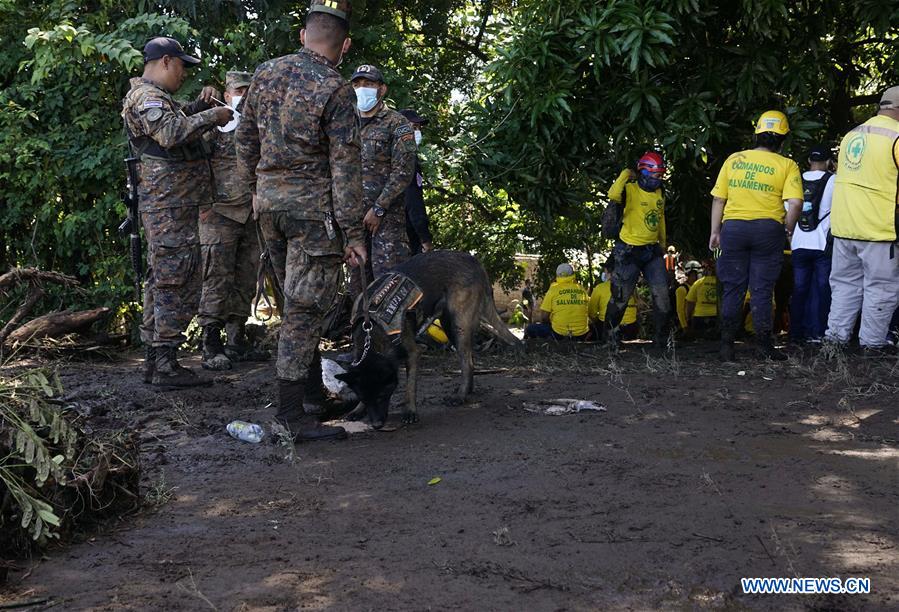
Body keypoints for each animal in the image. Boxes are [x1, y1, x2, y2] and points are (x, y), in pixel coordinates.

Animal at [336, 251, 520, 428]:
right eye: (365, 398)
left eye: (382, 395)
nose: (376, 425)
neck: (372, 331)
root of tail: (473, 259)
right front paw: (358, 410)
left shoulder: (413, 353)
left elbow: (410, 387)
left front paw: (410, 411)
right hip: (449, 326)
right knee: (470, 360)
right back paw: (467, 390)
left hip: (459, 325)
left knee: (467, 362)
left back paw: (460, 396)